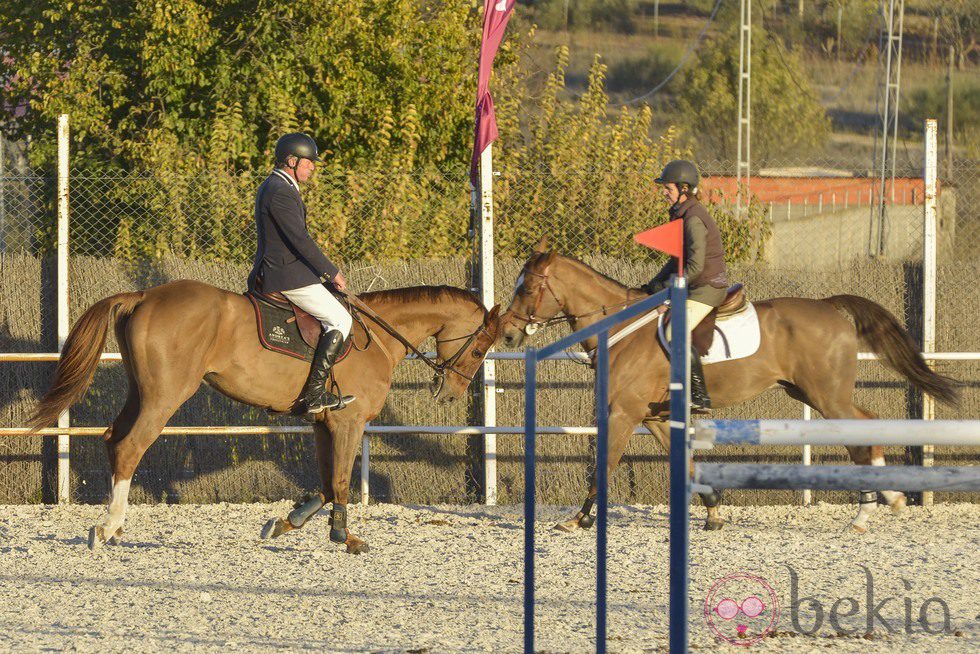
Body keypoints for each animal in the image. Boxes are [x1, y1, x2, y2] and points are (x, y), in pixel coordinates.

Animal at [28, 282, 506, 552]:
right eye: (480, 347)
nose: (449, 392)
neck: (377, 337)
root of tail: (145, 295)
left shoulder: (323, 423)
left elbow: (327, 483)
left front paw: (282, 524)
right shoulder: (348, 423)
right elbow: (340, 481)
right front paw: (345, 538)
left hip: (141, 391)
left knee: (113, 438)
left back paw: (116, 526)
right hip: (164, 396)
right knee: (130, 446)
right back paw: (107, 527)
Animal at [502, 238, 960, 536]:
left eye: (528, 287)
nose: (507, 334)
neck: (620, 328)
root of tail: (828, 305)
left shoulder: (622, 413)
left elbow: (605, 465)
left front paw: (579, 519)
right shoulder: (652, 417)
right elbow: (685, 463)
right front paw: (714, 514)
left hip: (826, 396)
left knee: (861, 430)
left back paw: (875, 508)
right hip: (812, 393)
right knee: (862, 428)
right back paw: (879, 504)